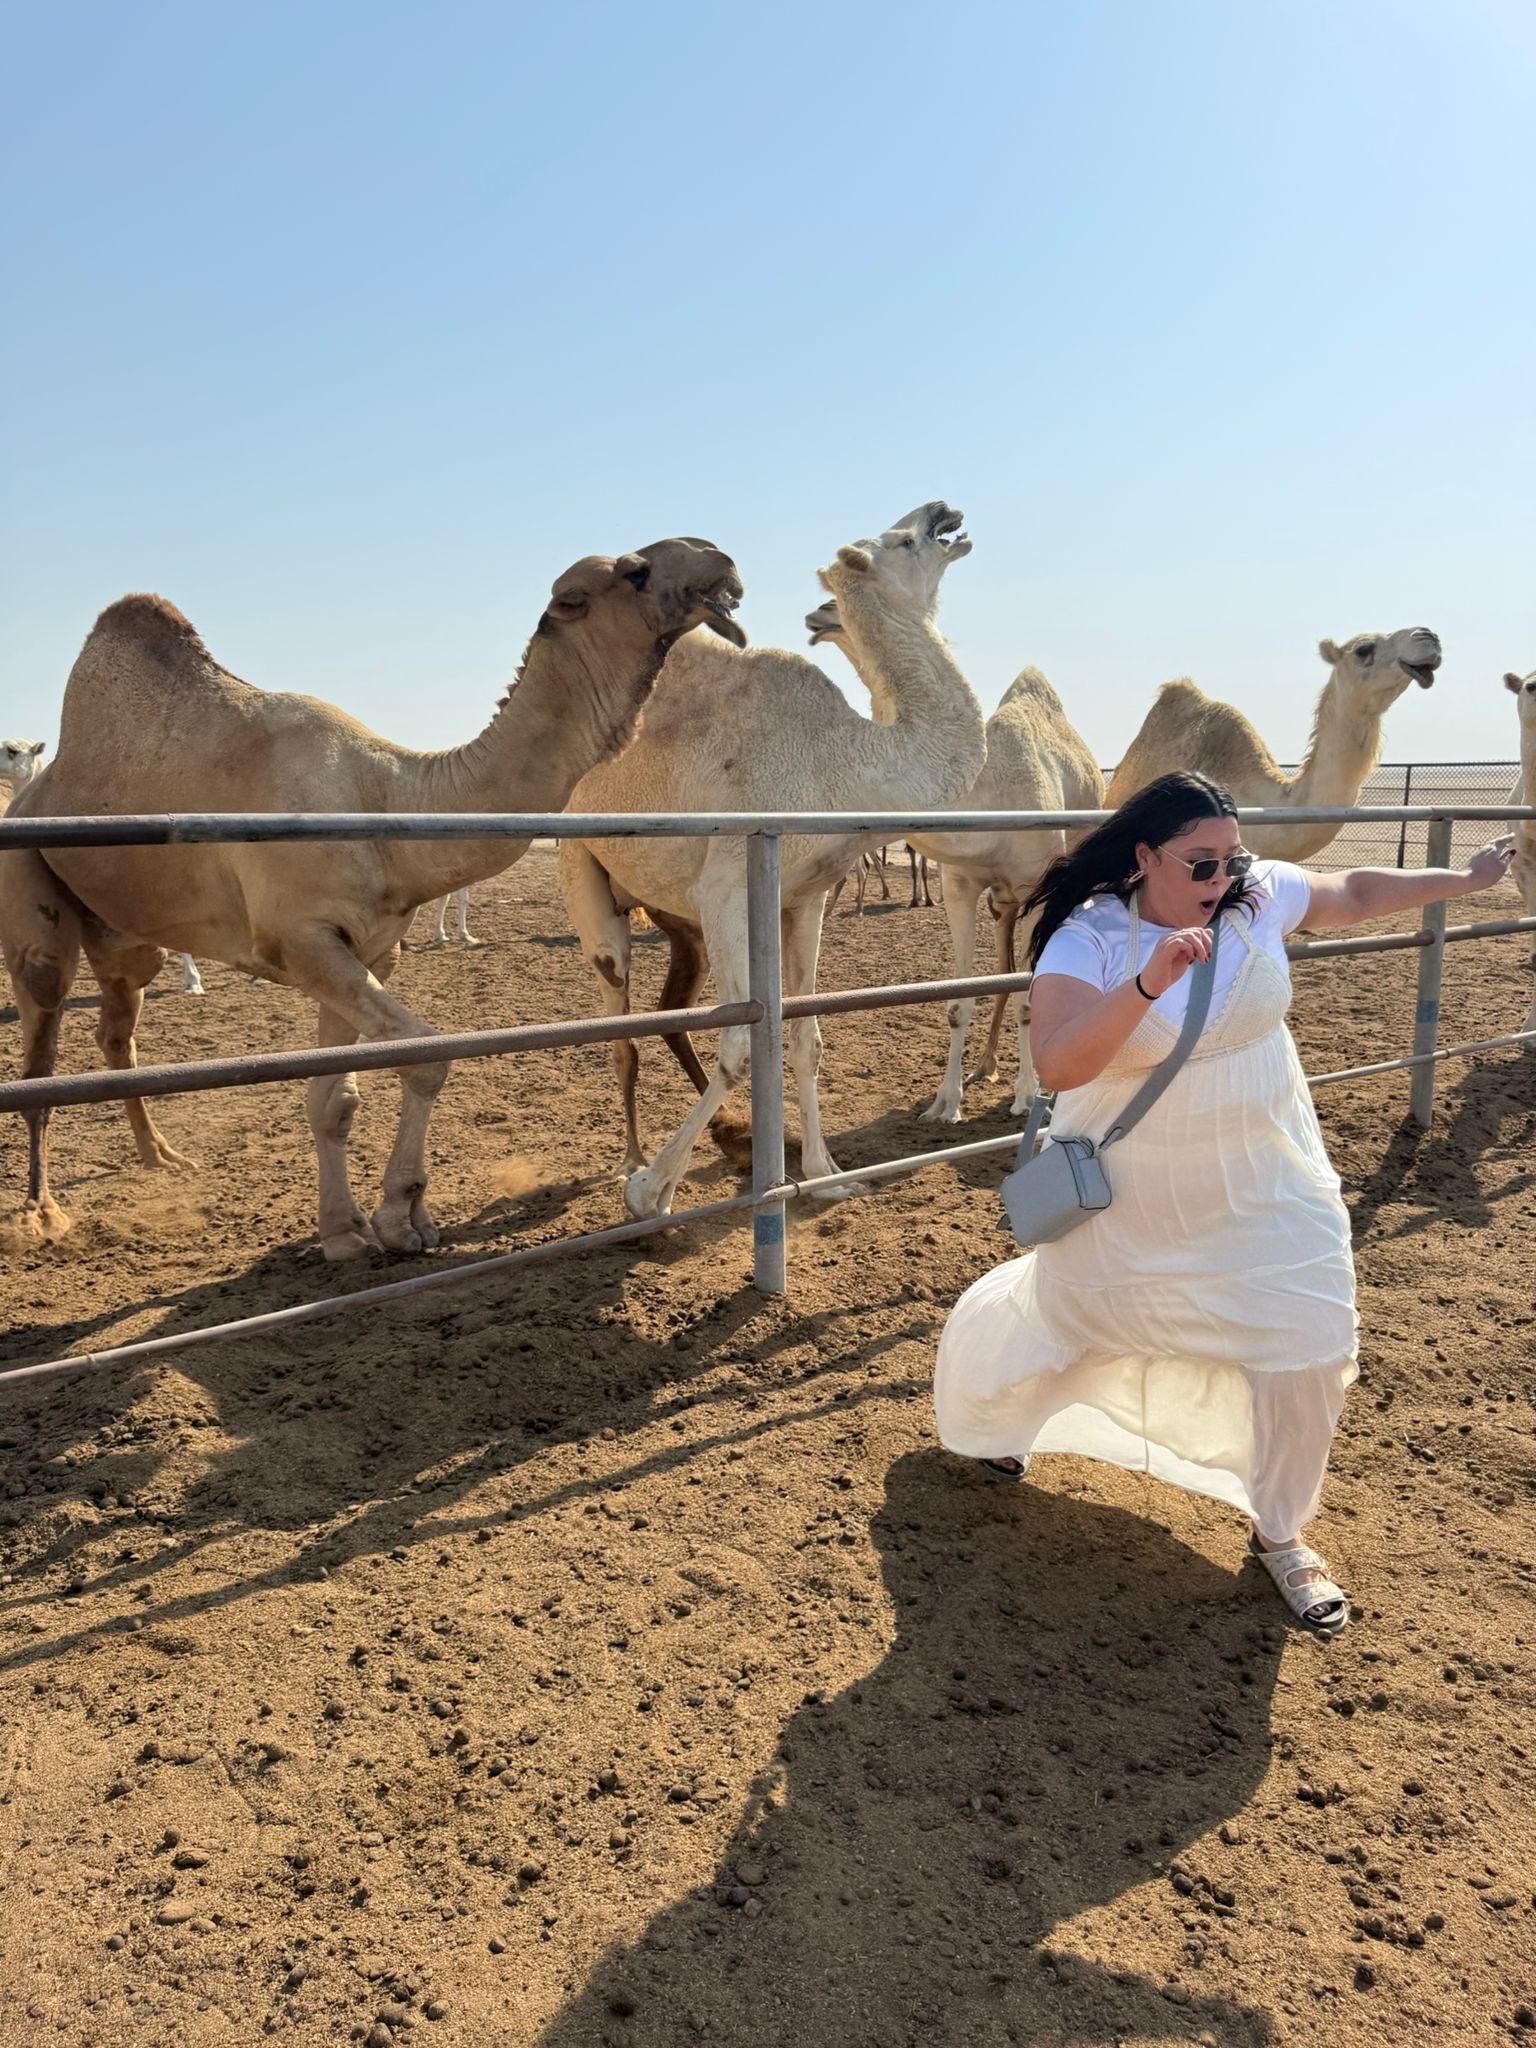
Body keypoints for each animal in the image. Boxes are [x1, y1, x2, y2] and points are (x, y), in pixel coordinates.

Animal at [2, 538, 744, 1255]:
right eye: (634, 571)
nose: (719, 557)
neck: (388, 800)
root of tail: (37, 792)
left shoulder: (367, 947)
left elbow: (334, 1095)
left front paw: (343, 1232)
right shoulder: (302, 941)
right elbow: (425, 1055)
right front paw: (399, 1218)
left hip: (127, 934)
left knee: (116, 1032)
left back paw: (160, 1155)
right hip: (30, 892)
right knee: (40, 1051)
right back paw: (44, 1215)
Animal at [558, 501, 985, 1218]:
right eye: (904, 540)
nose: (944, 511)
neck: (845, 761)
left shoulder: (805, 896)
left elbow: (805, 1035)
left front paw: (824, 1174)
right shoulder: (730, 882)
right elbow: (738, 1042)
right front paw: (650, 1193)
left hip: (674, 915)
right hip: (581, 865)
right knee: (618, 1017)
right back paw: (634, 1163)